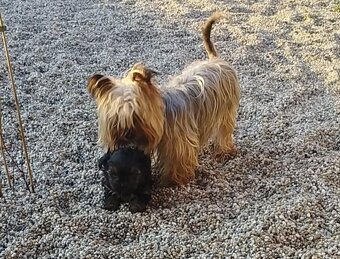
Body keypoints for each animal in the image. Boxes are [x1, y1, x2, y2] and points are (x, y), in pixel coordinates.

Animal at [89, 12, 240, 187]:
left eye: (136, 115)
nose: (126, 134)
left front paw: (173, 180)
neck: (163, 116)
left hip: (227, 109)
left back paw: (224, 151)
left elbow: (178, 162)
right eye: (116, 118)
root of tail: (216, 60)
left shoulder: (180, 145)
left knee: (224, 130)